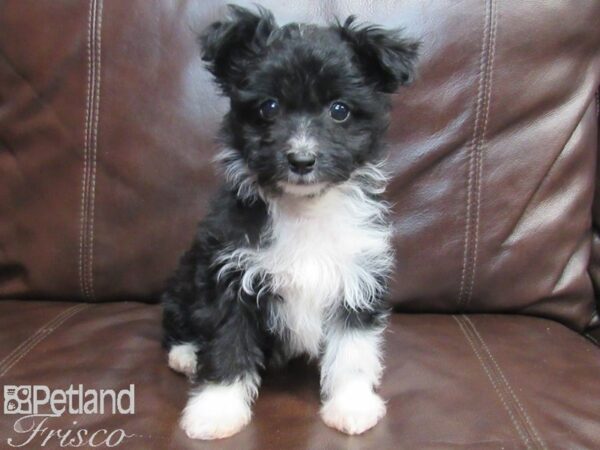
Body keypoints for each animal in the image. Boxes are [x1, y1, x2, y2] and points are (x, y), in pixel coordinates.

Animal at [162, 3, 420, 440]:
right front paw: (217, 410)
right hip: (187, 273)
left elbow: (352, 350)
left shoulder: (357, 277)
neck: (305, 210)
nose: (302, 159)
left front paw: (351, 404)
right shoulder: (229, 277)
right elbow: (227, 344)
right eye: (269, 107)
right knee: (177, 320)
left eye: (340, 110)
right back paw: (185, 354)